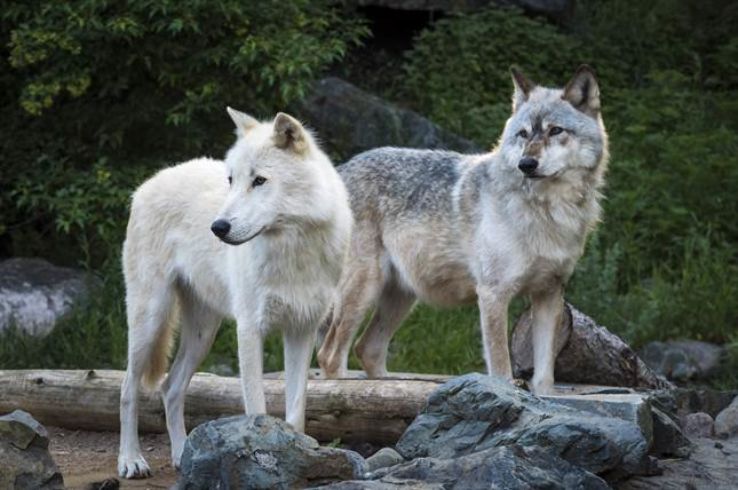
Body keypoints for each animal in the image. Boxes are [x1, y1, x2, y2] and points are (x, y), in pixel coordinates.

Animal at [118, 109, 352, 478]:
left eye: (259, 181)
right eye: (231, 179)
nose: (218, 228)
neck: (292, 249)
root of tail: (147, 183)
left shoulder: (301, 330)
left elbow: (296, 411)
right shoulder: (250, 329)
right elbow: (256, 408)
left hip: (202, 335)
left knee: (170, 388)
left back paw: (183, 455)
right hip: (150, 319)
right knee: (128, 388)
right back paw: (130, 460)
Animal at [318, 66, 608, 396]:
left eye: (555, 130)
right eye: (523, 134)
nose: (526, 164)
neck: (547, 212)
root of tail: (341, 170)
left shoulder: (549, 294)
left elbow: (545, 376)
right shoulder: (493, 294)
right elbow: (501, 368)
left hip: (401, 299)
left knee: (367, 350)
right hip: (364, 290)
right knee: (330, 357)